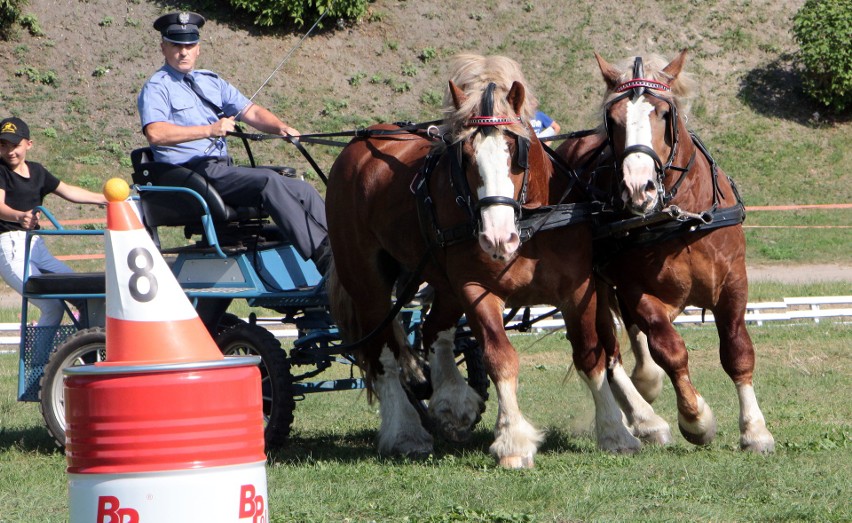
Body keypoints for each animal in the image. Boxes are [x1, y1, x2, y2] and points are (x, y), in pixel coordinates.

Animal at [322, 55, 664, 468]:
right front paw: (513, 440)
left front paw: (615, 431)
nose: (498, 236)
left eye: (517, 149)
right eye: (466, 157)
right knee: (384, 354)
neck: (531, 225)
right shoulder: (476, 289)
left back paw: (453, 401)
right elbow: (500, 357)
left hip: (440, 278)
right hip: (367, 281)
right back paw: (405, 431)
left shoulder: (579, 287)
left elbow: (591, 354)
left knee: (433, 329)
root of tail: (359, 143)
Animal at [556, 51, 776, 452]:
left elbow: (737, 350)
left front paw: (754, 430)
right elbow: (669, 350)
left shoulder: (733, 283)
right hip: (590, 287)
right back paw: (645, 420)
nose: (637, 188)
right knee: (607, 352)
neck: (680, 218)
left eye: (663, 113)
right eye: (613, 120)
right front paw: (696, 418)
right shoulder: (635, 291)